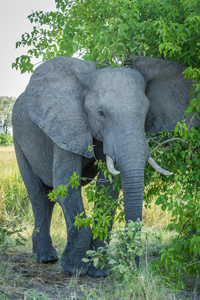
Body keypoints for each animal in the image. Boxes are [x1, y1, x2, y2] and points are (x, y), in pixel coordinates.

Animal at [12, 55, 198, 276]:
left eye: (146, 114)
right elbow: (66, 185)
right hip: (18, 139)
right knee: (39, 195)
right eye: (101, 113)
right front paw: (74, 268)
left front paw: (99, 271)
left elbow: (107, 188)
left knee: (48, 197)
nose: (136, 268)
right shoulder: (67, 125)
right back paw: (46, 258)